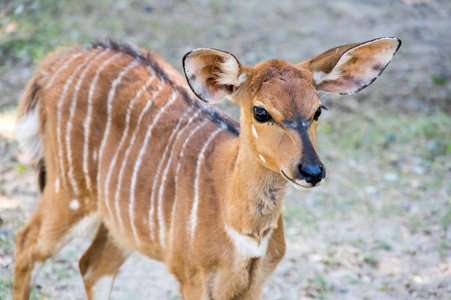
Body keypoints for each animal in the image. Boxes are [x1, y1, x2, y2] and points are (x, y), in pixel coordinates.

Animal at [14, 38, 400, 300]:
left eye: (318, 110)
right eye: (261, 111)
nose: (312, 170)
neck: (246, 231)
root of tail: (53, 63)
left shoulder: (255, 282)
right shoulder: (192, 277)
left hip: (119, 222)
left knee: (93, 266)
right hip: (69, 191)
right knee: (26, 243)